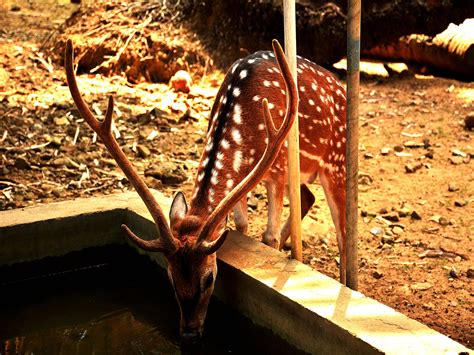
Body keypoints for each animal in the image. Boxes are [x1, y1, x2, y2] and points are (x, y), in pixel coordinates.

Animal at [65, 37, 346, 344]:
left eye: (209, 278)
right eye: (170, 277)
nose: (189, 332)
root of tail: (341, 86)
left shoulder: (279, 166)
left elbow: (268, 235)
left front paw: (272, 247)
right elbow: (241, 224)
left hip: (337, 161)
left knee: (342, 231)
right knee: (308, 197)